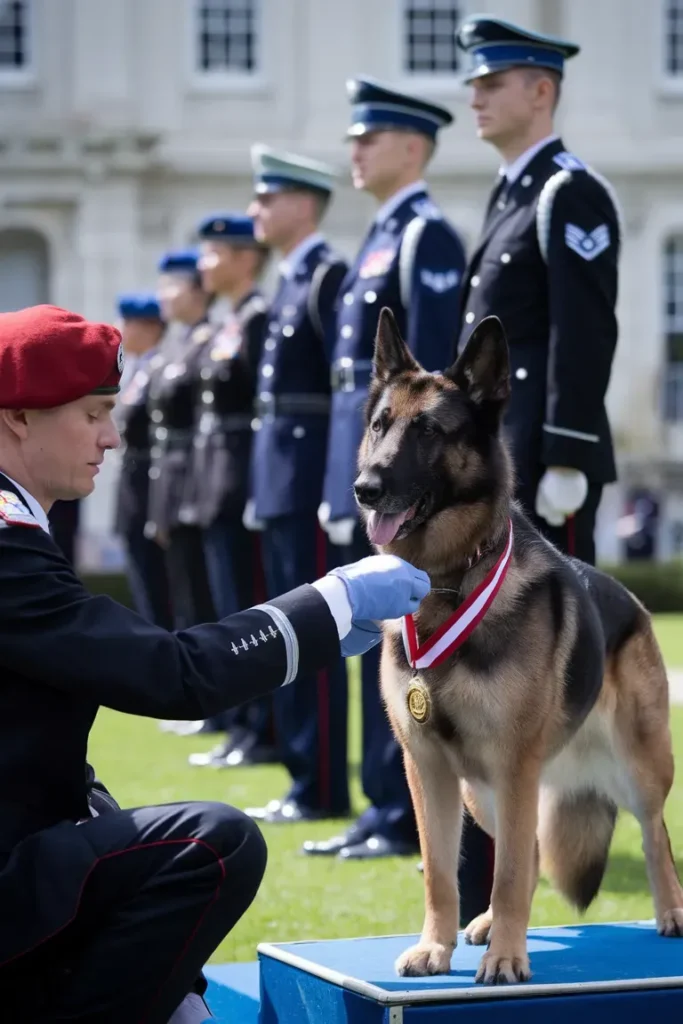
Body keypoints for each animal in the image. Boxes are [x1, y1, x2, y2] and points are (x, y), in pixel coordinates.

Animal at [356, 305, 679, 983]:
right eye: (380, 425)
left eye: (428, 431)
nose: (364, 489)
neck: (451, 582)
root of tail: (631, 599)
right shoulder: (429, 769)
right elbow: (443, 874)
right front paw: (437, 946)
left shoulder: (512, 762)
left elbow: (504, 874)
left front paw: (507, 957)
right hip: (482, 791)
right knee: (524, 847)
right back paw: (485, 926)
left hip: (632, 768)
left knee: (653, 836)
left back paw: (670, 911)